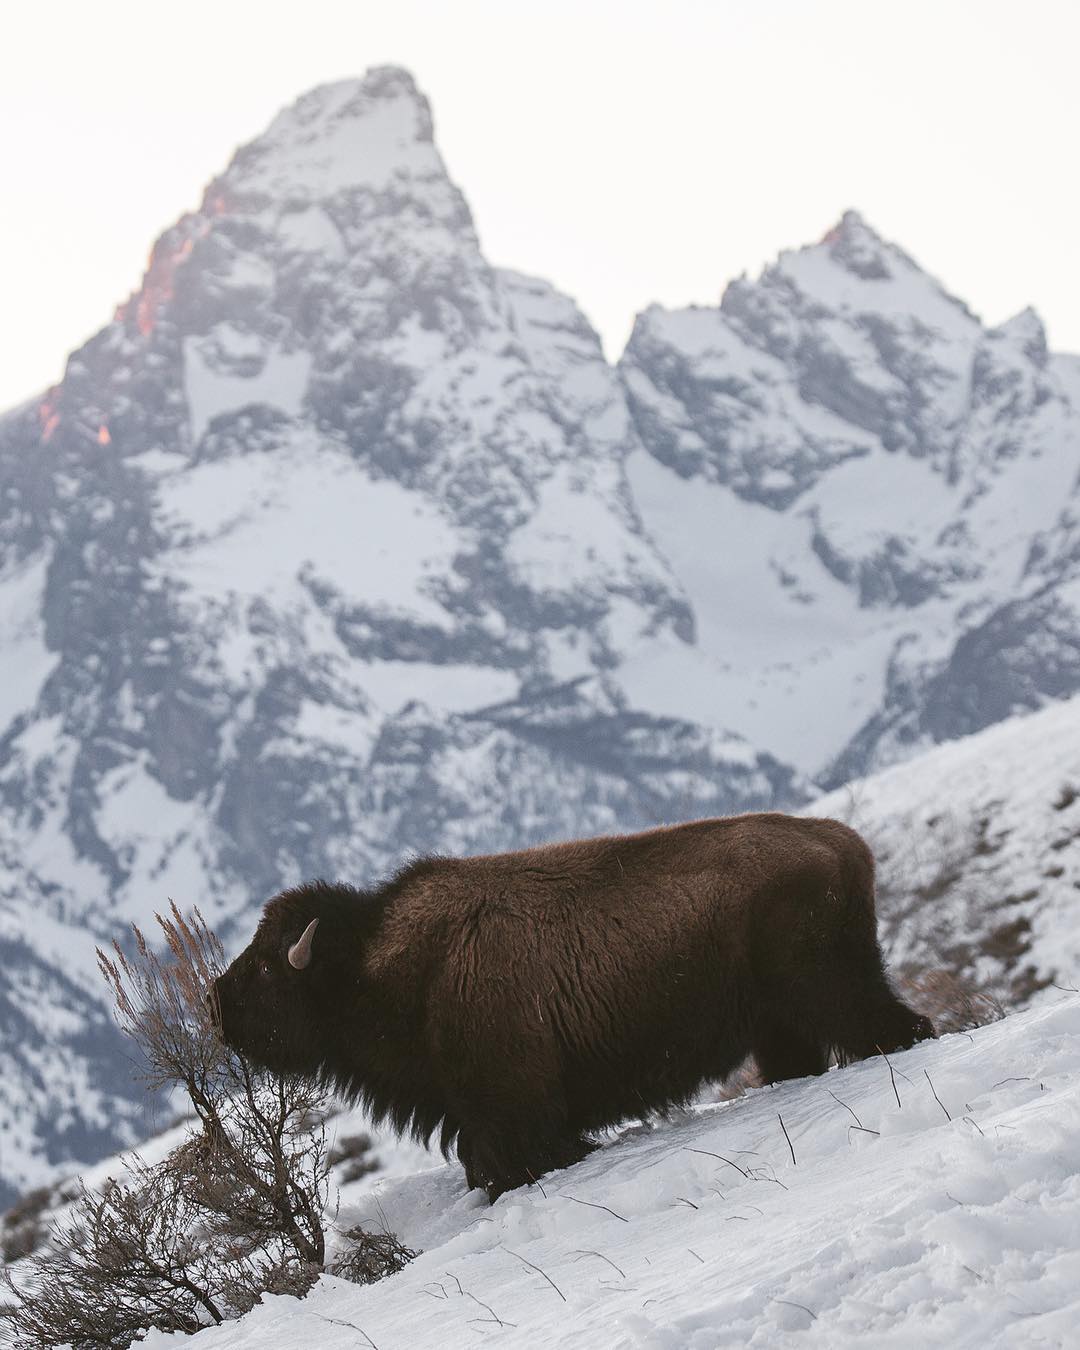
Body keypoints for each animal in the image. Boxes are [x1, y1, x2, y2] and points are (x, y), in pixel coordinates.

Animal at [209, 810, 928, 1204]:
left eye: (268, 965)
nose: (216, 1002)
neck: (379, 961)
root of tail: (841, 841)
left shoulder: (515, 1117)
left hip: (828, 990)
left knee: (894, 1026)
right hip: (778, 1026)